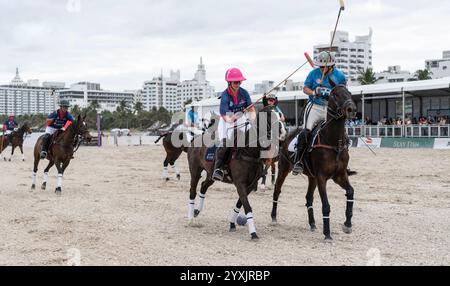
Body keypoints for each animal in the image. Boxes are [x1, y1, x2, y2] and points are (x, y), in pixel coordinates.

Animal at [268, 84, 356, 241]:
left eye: (349, 93)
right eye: (335, 95)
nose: (351, 109)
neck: (334, 143)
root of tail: (287, 135)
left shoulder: (339, 176)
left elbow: (350, 192)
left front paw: (347, 224)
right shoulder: (322, 177)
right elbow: (326, 205)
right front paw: (327, 234)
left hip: (311, 177)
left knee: (308, 197)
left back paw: (313, 223)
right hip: (284, 168)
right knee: (277, 190)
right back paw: (273, 217)